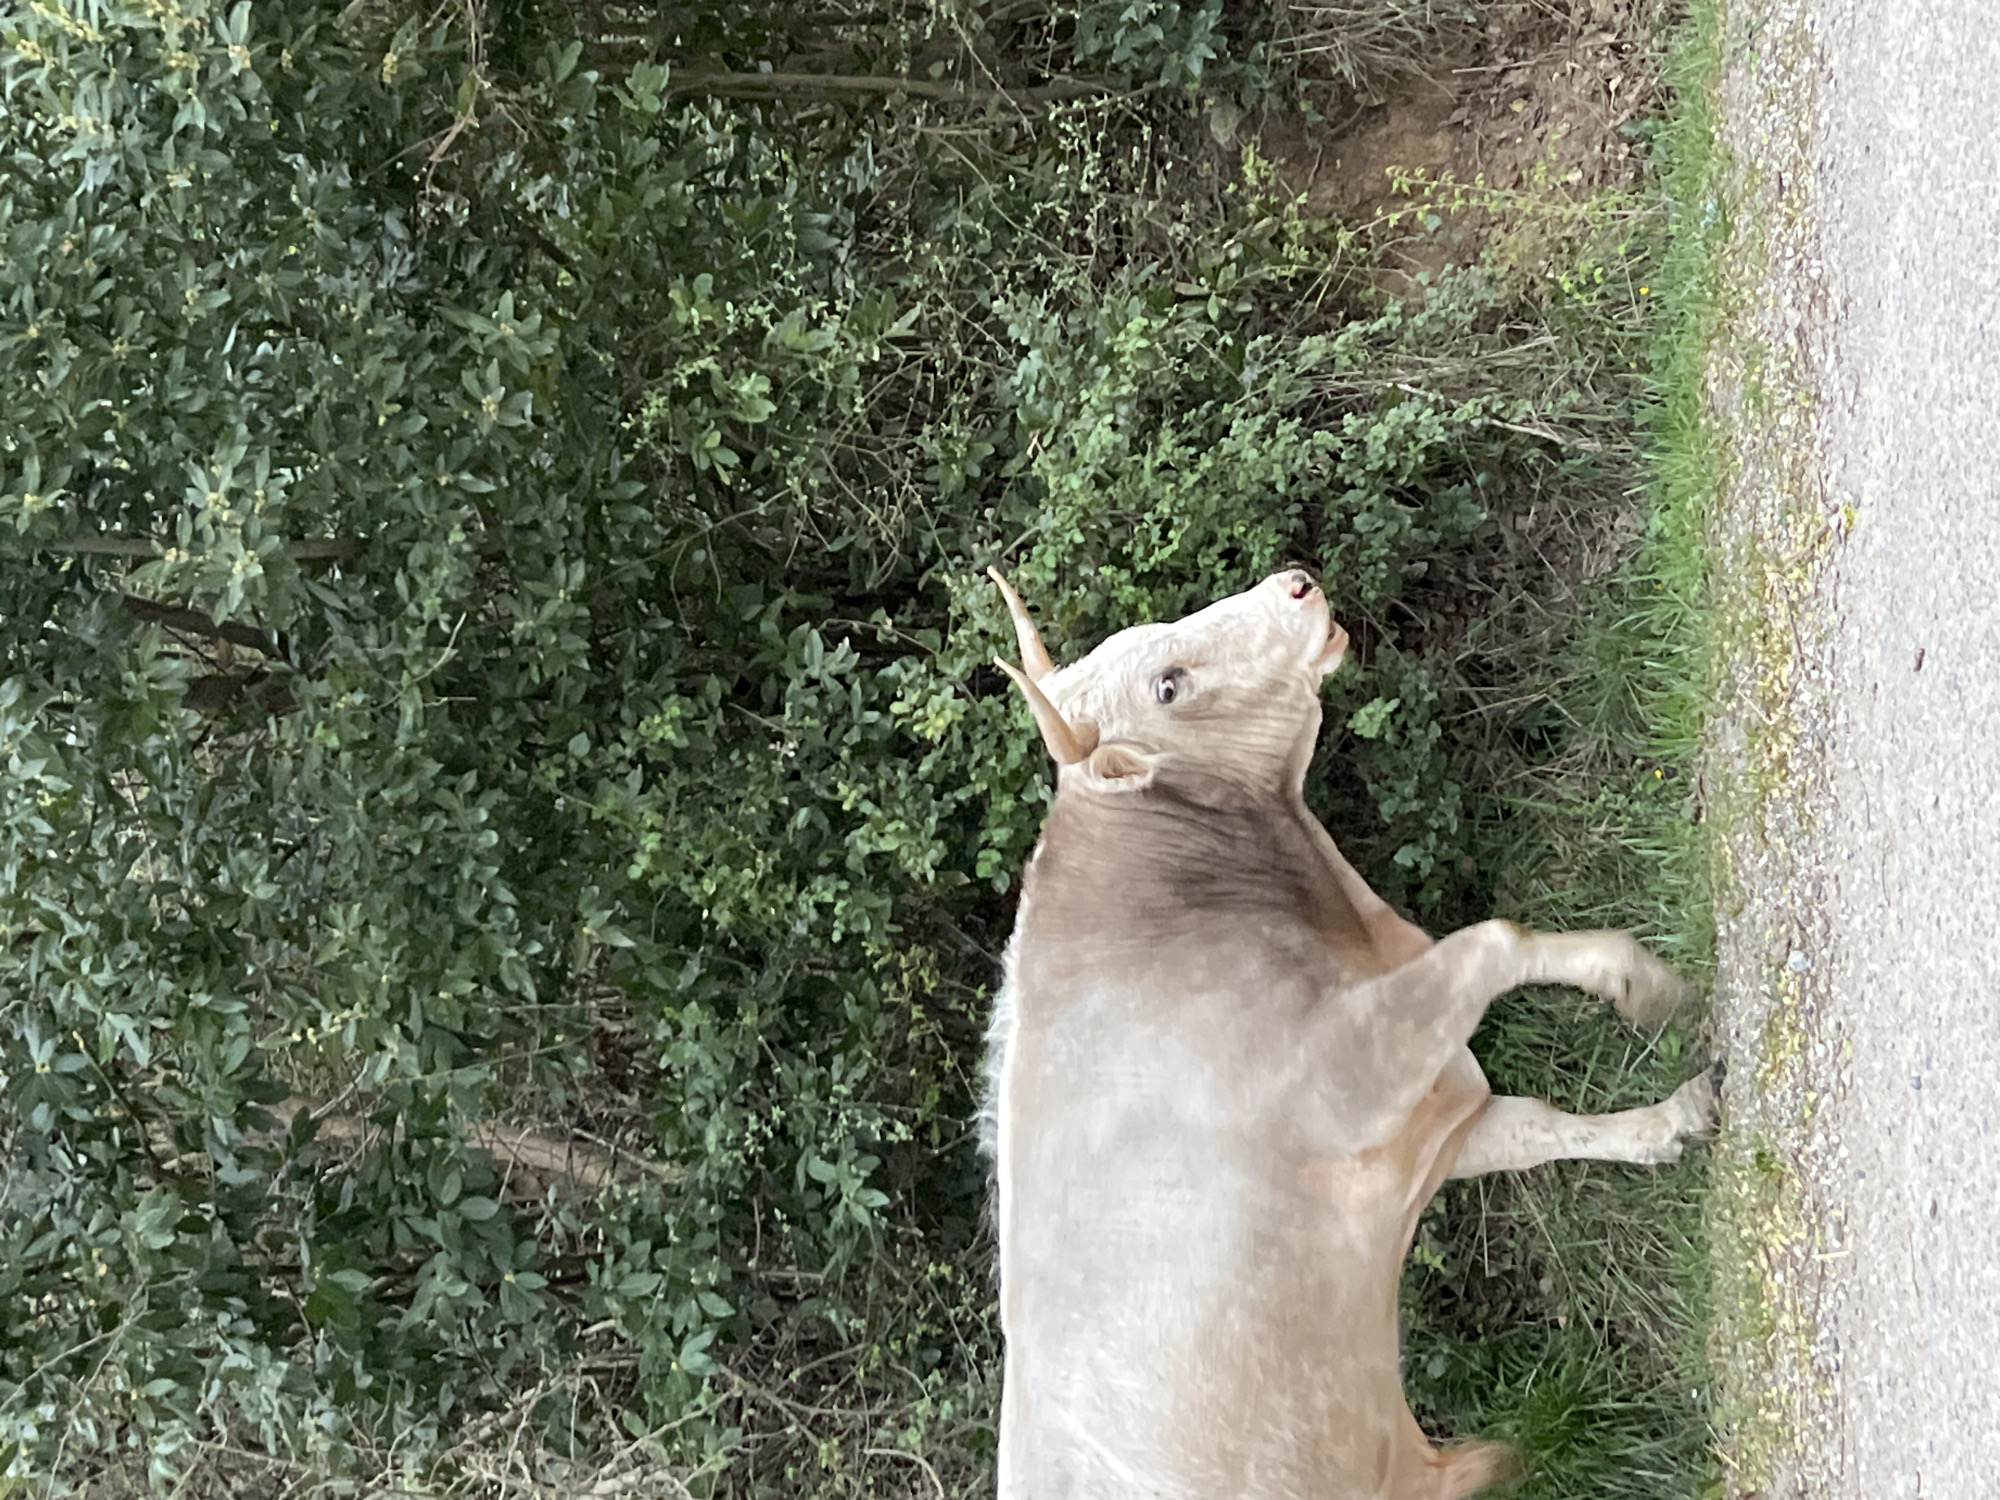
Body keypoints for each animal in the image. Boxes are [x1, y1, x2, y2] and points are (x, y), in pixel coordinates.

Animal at [982, 567, 1717, 1500]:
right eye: (1168, 686)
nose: (1294, 584)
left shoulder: (1429, 1120)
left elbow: (1539, 1126)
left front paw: (1674, 1119)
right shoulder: (1358, 1074)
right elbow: (1496, 940)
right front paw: (1639, 982)